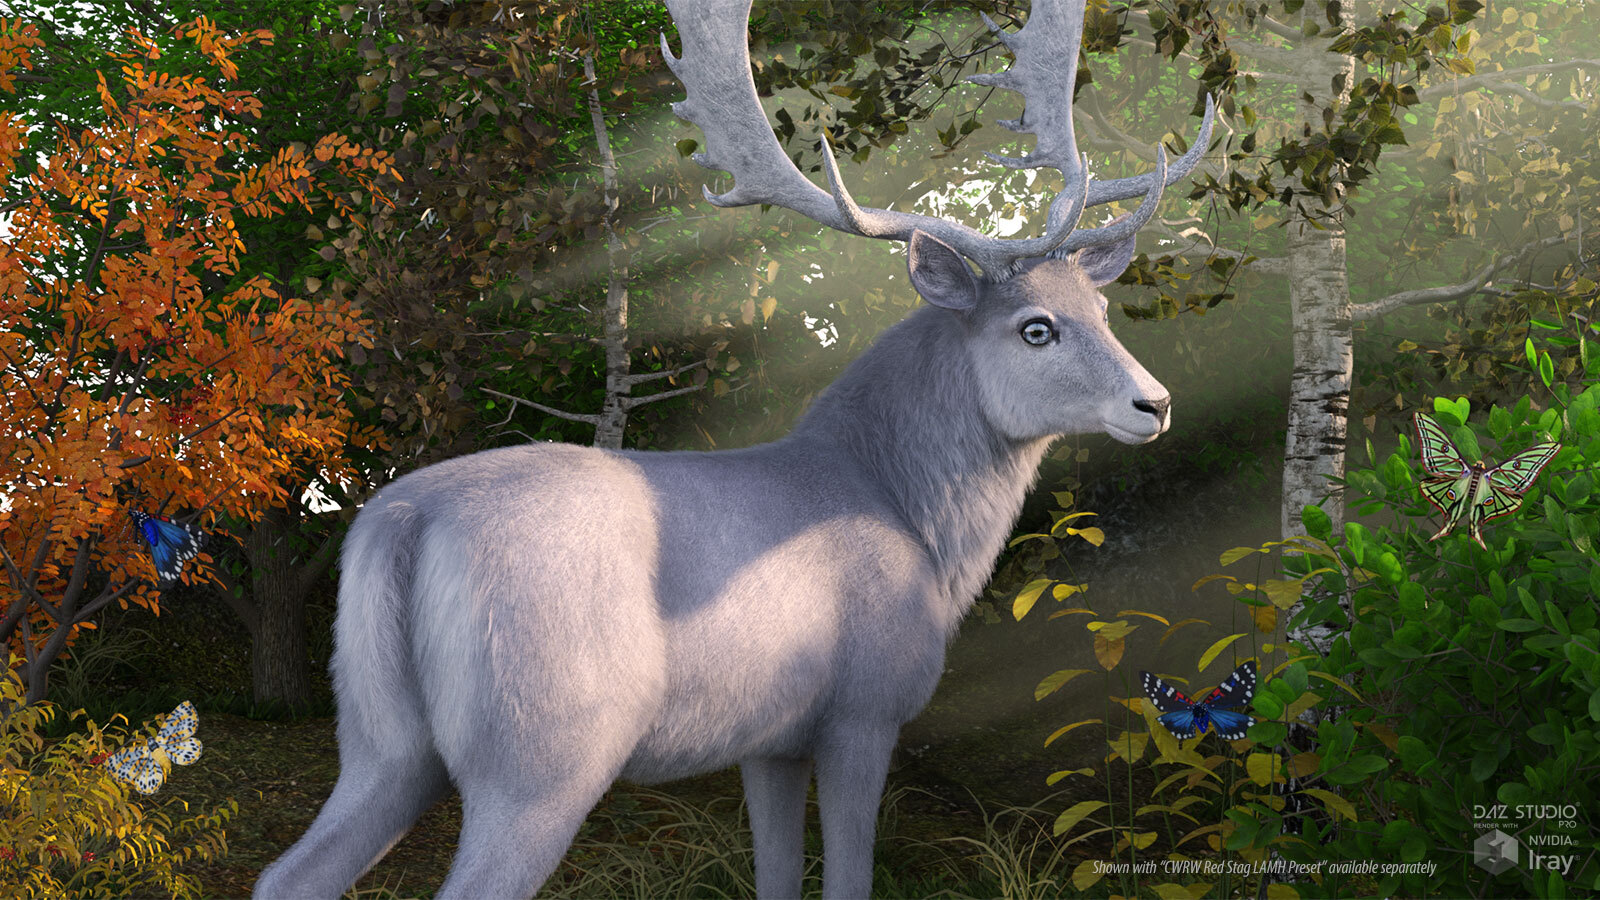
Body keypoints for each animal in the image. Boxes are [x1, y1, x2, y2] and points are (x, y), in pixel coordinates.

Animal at [253, 0, 1213, 897]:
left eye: (1102, 310)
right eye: (1035, 327)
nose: (1156, 403)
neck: (916, 523)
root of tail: (404, 524)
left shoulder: (770, 739)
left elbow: (777, 875)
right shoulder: (863, 711)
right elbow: (850, 878)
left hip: (378, 737)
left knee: (288, 873)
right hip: (540, 748)